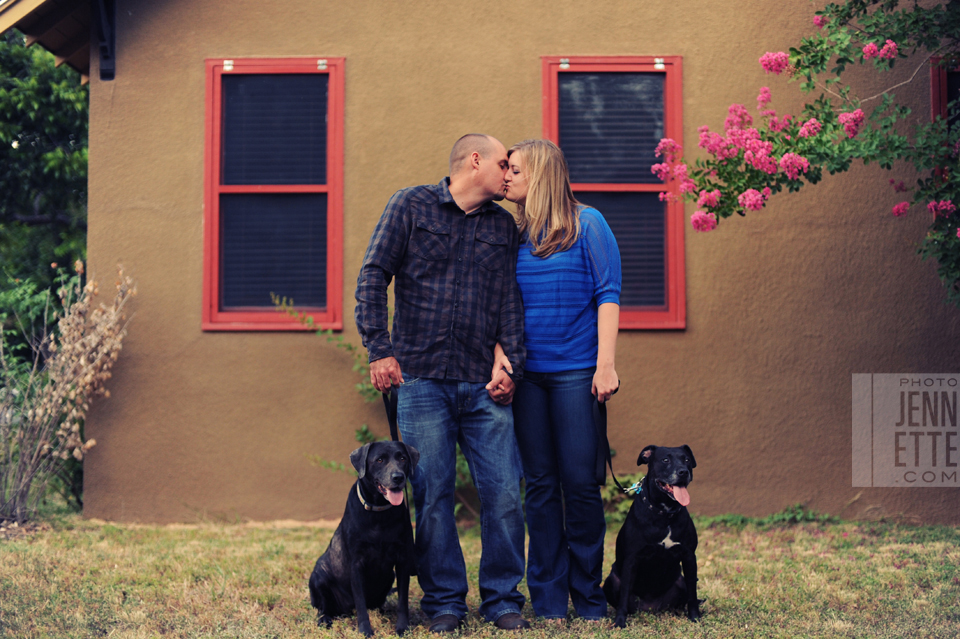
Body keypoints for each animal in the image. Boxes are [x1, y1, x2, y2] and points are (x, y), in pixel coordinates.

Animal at [306, 442, 414, 636]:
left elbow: (403, 600)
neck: (379, 511)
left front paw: (403, 627)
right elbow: (361, 603)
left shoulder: (403, 561)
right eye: (379, 460)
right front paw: (365, 630)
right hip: (318, 576)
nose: (398, 477)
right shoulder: (356, 564)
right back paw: (325, 619)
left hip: (390, 575)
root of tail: (345, 610)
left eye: (403, 458)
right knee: (323, 608)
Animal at [604, 442, 700, 628]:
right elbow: (624, 595)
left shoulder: (689, 556)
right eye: (665, 460)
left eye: (686, 460)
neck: (665, 512)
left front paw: (695, 617)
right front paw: (619, 622)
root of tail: (649, 608)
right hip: (610, 581)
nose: (683, 472)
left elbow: (693, 593)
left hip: (680, 581)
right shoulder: (631, 559)